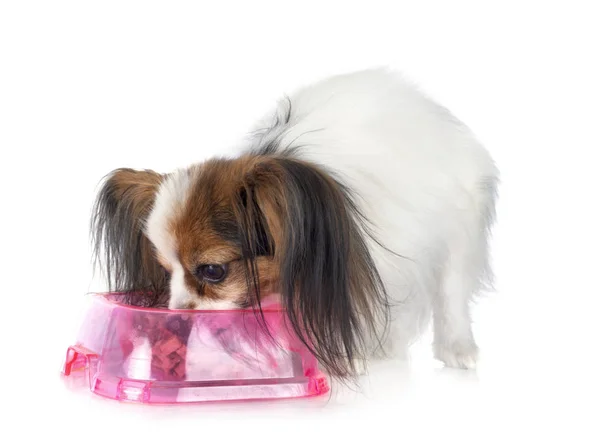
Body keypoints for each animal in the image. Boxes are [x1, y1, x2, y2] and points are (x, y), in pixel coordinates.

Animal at [91, 67, 500, 378]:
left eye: (212, 271)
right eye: (165, 272)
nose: (175, 316)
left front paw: (349, 358)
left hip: (459, 224)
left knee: (451, 292)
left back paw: (456, 347)